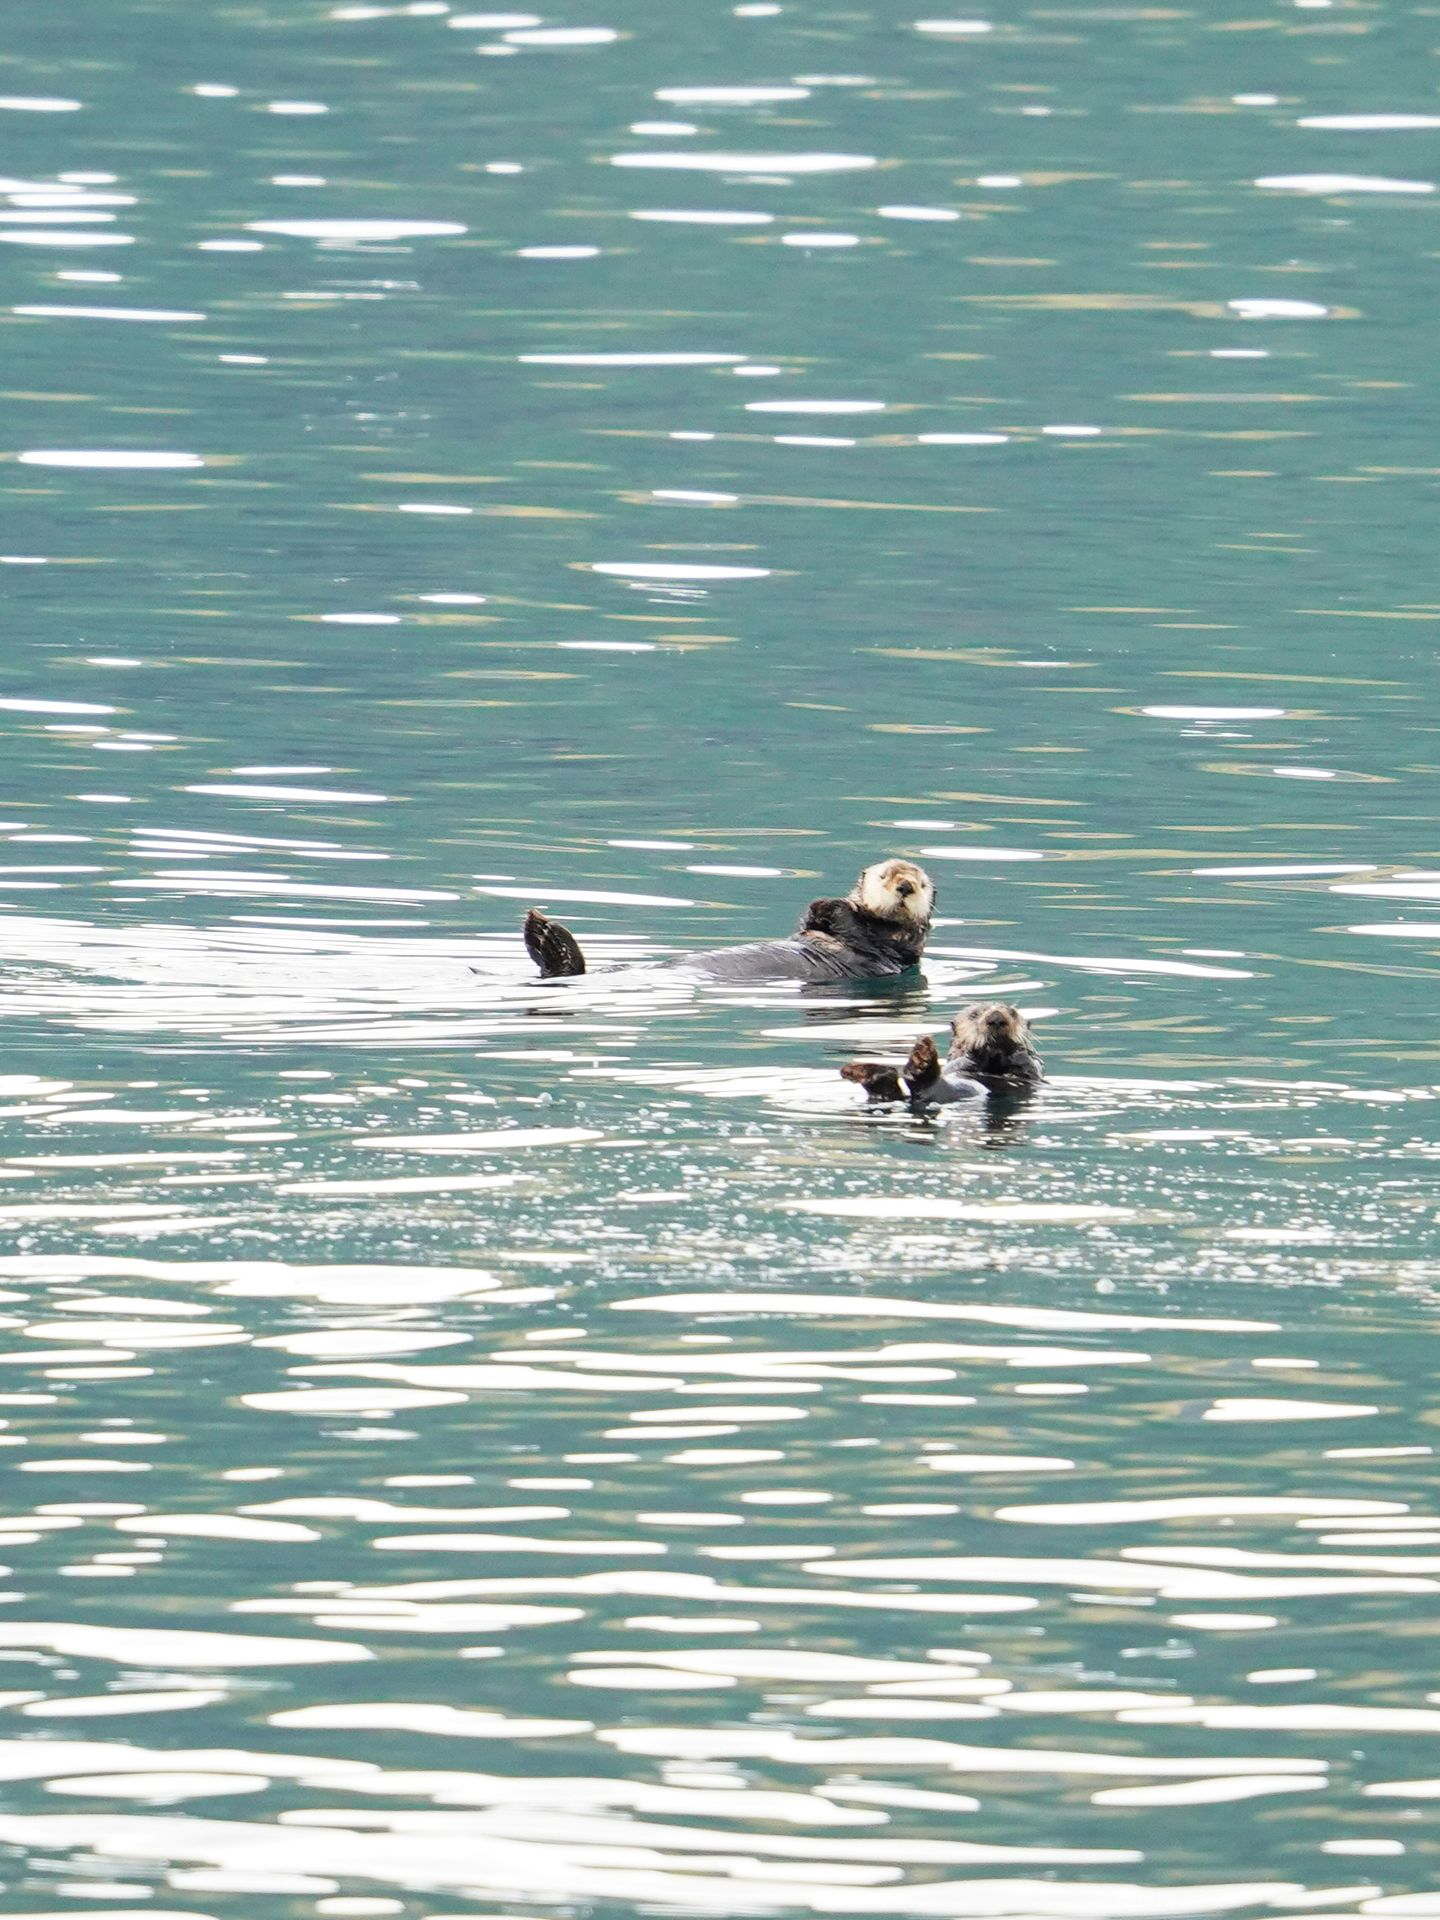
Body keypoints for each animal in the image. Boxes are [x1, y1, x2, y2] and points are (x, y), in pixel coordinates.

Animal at [522, 858, 935, 985]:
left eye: (922, 884)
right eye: (884, 874)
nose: (905, 886)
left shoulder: (884, 950)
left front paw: (833, 903)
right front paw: (823, 905)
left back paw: (545, 935)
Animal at [842, 1002, 1043, 1105]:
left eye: (1013, 1013)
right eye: (974, 1015)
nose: (996, 1018)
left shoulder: (1033, 1072)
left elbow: (1030, 1068)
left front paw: (1014, 1050)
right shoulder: (955, 1063)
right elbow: (958, 1063)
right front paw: (977, 1051)